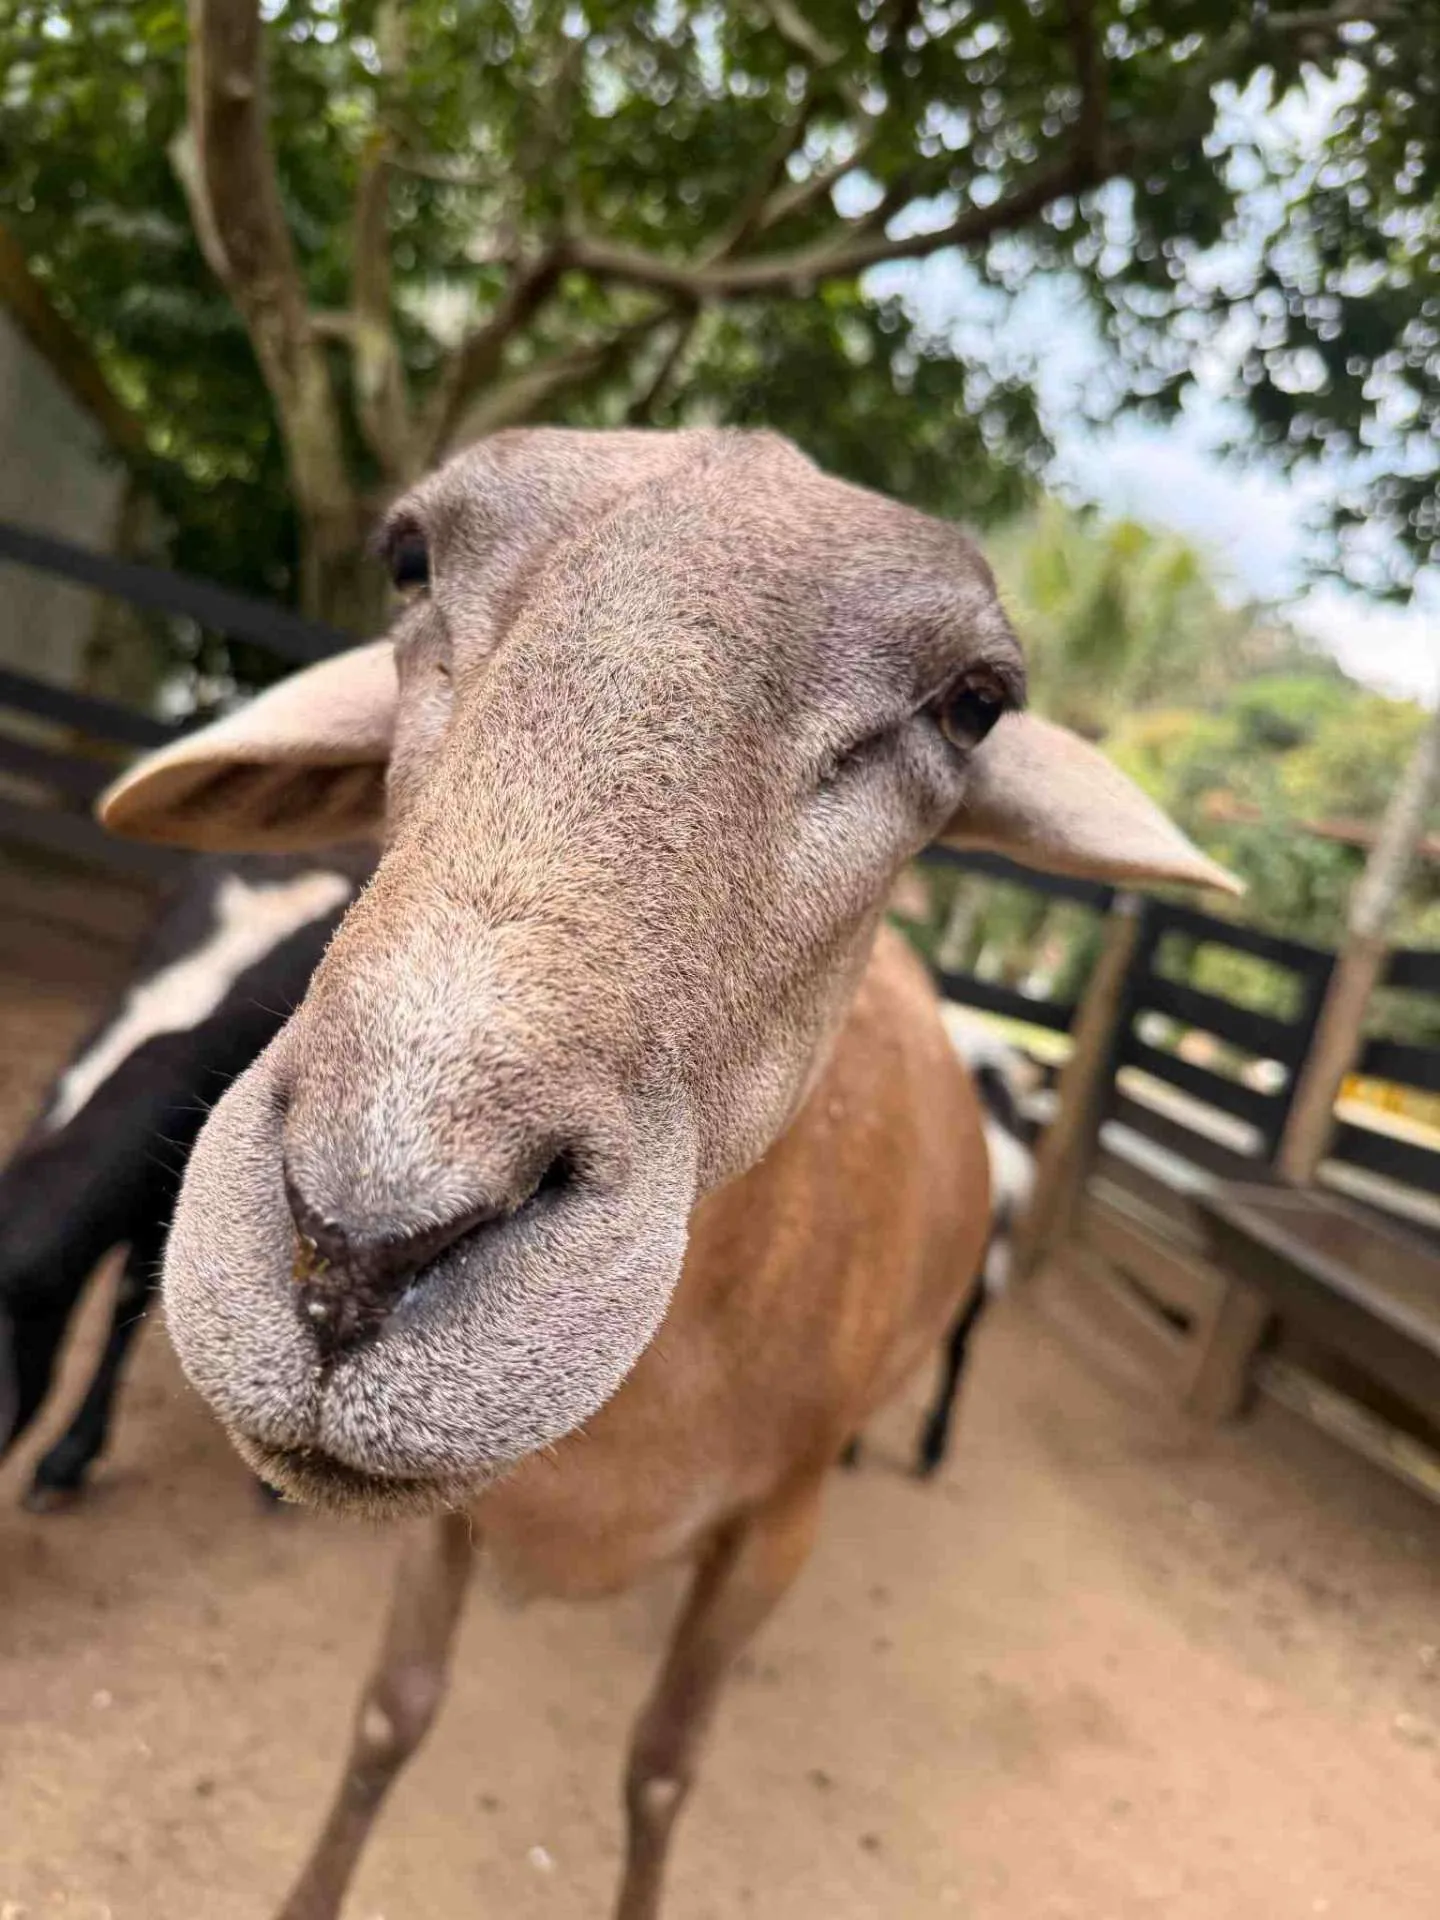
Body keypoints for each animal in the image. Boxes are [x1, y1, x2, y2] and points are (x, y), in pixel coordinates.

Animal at [100, 427, 1233, 1919]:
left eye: (975, 704)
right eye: (408, 559)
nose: (353, 1249)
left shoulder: (773, 1531)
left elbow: (659, 1771)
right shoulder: (449, 1519)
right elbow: (393, 1713)